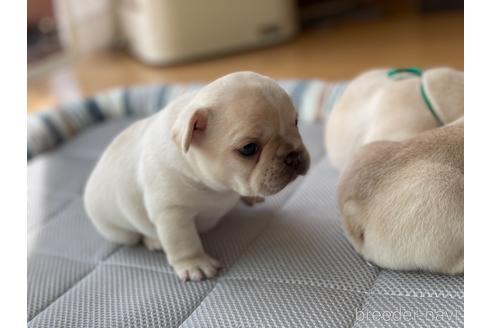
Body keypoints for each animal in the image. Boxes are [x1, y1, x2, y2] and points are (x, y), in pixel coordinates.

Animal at [82, 72, 310, 282]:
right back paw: (153, 240)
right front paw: (195, 264)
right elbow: (183, 241)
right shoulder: (172, 213)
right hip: (119, 230)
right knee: (137, 235)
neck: (216, 187)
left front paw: (249, 196)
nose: (293, 155)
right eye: (248, 148)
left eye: (296, 123)